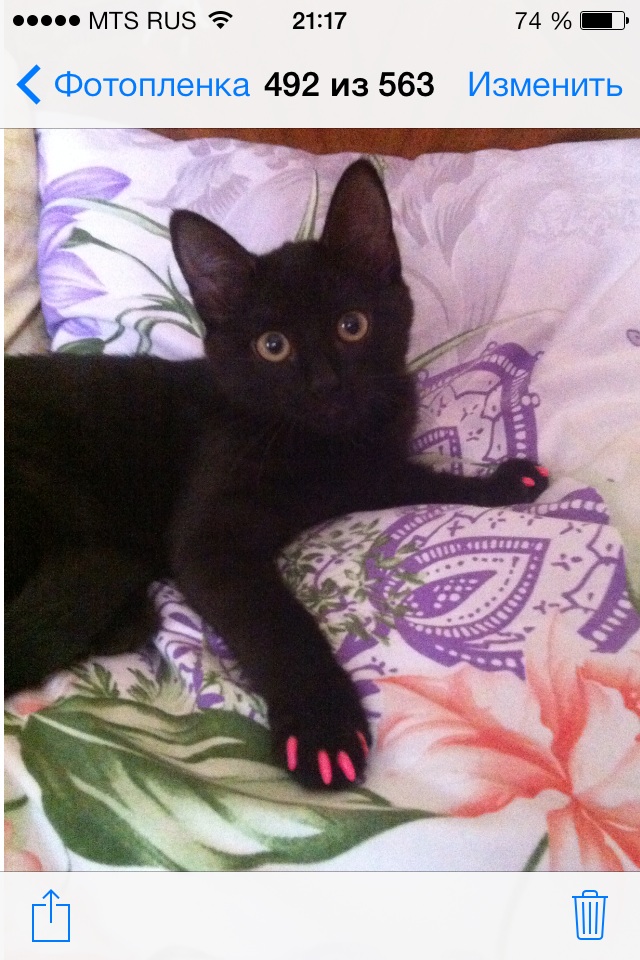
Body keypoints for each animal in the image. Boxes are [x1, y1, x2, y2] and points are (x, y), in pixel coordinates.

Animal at [4, 159, 549, 789]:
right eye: (272, 346)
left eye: (352, 325)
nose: (326, 385)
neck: (322, 447)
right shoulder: (211, 540)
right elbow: (278, 625)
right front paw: (324, 731)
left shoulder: (369, 471)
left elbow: (418, 478)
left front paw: (501, 483)